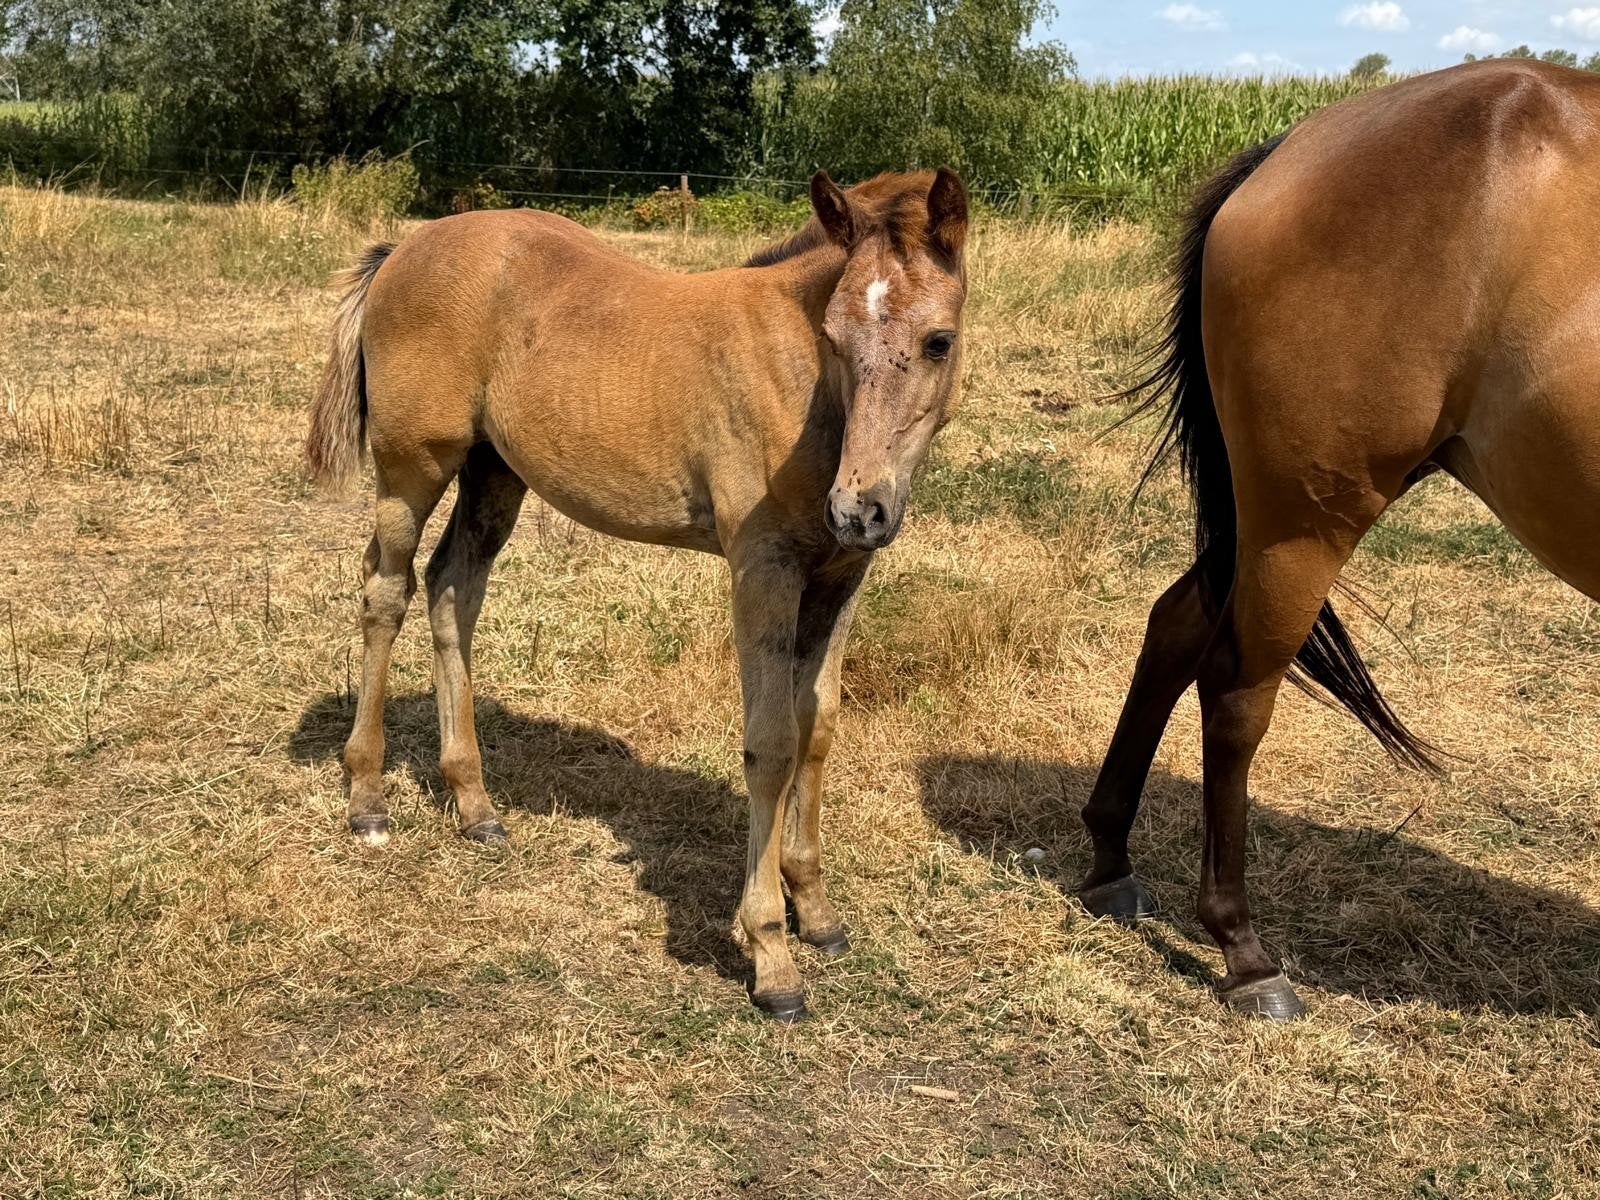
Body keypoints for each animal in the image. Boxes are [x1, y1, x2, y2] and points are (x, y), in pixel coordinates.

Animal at [306, 168, 970, 1019]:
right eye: (833, 337)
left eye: (938, 340)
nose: (861, 509)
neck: (805, 393)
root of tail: (404, 248)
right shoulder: (763, 569)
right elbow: (771, 744)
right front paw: (771, 955)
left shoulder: (842, 576)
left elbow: (817, 730)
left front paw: (816, 911)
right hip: (411, 464)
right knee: (385, 593)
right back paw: (366, 798)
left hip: (496, 471)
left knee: (453, 588)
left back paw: (475, 805)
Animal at [1080, 58, 1600, 1019]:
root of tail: (1293, 144)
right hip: (1306, 518)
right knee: (1236, 692)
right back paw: (1244, 951)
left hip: (1275, 518)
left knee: (1176, 626)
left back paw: (1108, 859)